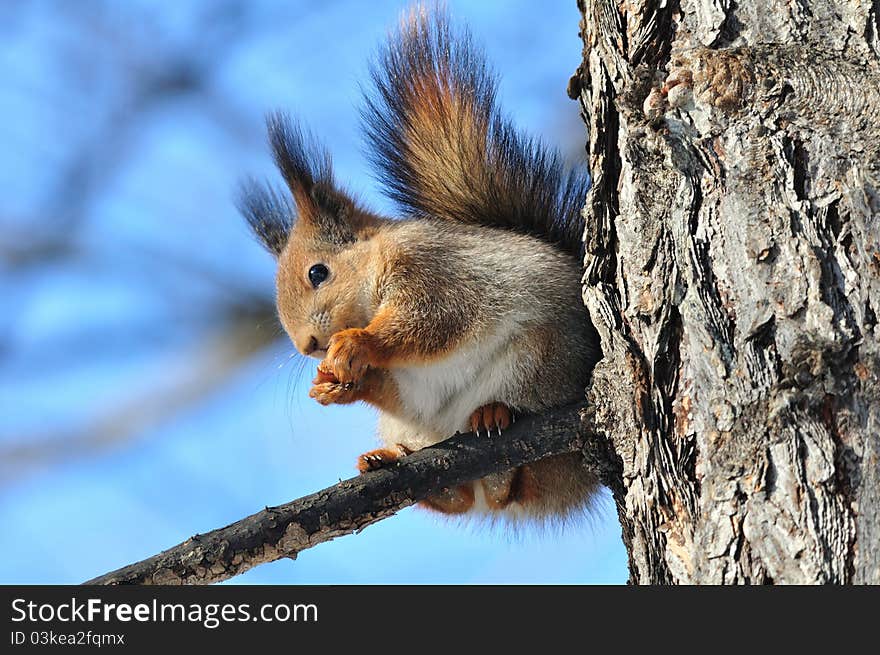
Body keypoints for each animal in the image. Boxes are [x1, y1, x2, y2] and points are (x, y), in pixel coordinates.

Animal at [237, 6, 600, 524]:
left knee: (517, 474)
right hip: (413, 419)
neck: (374, 269)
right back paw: (402, 468)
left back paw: (496, 424)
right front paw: (331, 386)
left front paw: (358, 342)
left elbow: (434, 321)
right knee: (462, 495)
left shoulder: (434, 271)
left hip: (540, 359)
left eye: (317, 273)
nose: (309, 346)